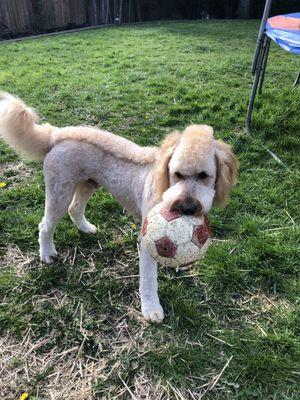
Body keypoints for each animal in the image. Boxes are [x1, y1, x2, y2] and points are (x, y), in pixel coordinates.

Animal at [0, 94, 238, 324]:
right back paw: (47, 254)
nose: (187, 208)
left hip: (87, 184)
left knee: (75, 208)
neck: (163, 182)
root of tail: (57, 134)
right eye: (177, 174)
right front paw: (151, 309)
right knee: (46, 224)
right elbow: (148, 279)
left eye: (204, 176)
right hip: (60, 191)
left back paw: (85, 228)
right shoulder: (147, 238)